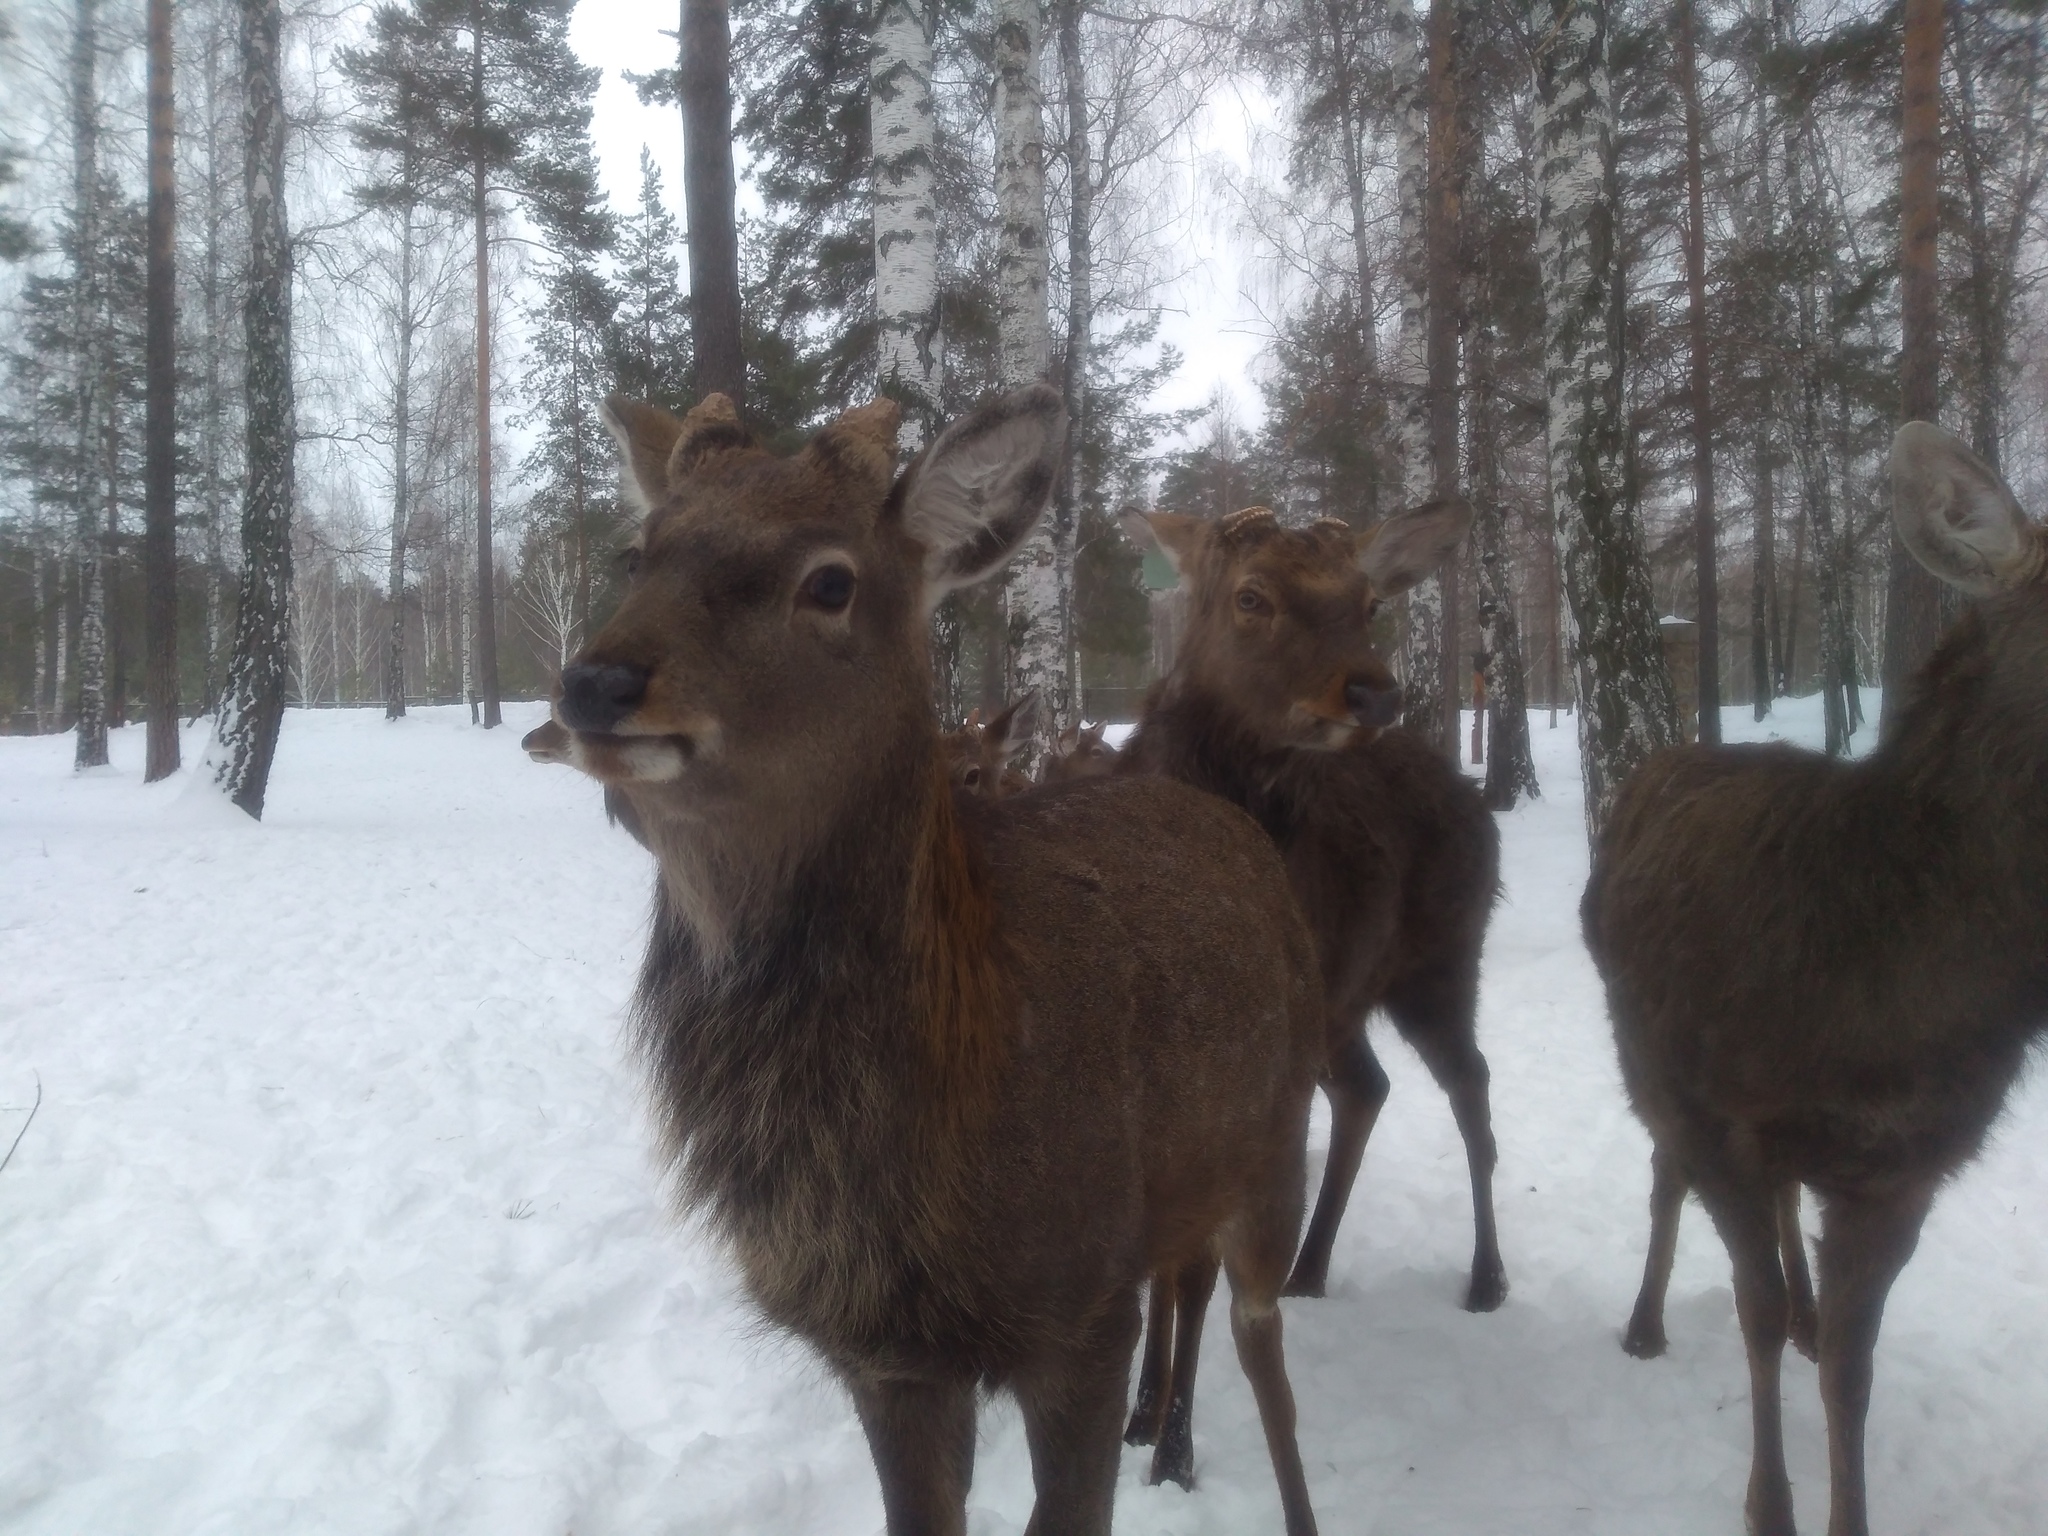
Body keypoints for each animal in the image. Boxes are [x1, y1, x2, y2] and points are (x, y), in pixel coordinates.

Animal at [528, 385, 1327, 1536]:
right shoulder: (887, 1357)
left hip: (1274, 1144)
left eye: (829, 579)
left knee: (1264, 1345)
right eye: (638, 552)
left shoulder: (1083, 1305)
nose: (594, 681)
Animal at [1114, 501, 1515, 1490]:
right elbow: (1159, 1254)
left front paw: (1173, 1448)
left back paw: (1486, 1277)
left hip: (1439, 966)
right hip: (1338, 1008)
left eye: (1369, 602)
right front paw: (1139, 1415)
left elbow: (1192, 1269)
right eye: (1251, 595)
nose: (1373, 693)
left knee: (1472, 1085)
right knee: (1367, 1086)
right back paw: (1307, 1264)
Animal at [1581, 428, 2048, 1536]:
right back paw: (1645, 1321)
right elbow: (1748, 1311)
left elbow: (1850, 1364)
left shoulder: (1906, 1168)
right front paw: (1769, 1505)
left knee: (1791, 1205)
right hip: (1645, 1056)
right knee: (1664, 1178)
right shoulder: (1717, 1114)